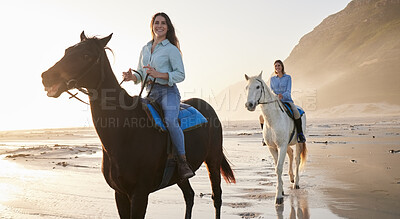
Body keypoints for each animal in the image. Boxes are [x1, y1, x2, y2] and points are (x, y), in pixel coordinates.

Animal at [40, 31, 234, 218]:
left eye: (86, 55)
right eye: (67, 51)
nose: (46, 76)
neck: (125, 133)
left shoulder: (140, 194)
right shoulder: (120, 194)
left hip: (213, 160)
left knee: (217, 197)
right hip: (180, 176)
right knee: (189, 196)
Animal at [244, 72, 306, 204]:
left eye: (258, 87)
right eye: (246, 88)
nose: (249, 105)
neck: (272, 120)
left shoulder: (281, 146)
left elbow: (279, 168)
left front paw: (278, 196)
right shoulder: (273, 147)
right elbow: (277, 167)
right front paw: (281, 191)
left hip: (298, 143)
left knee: (297, 160)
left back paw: (296, 183)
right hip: (287, 145)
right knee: (291, 153)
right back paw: (292, 178)